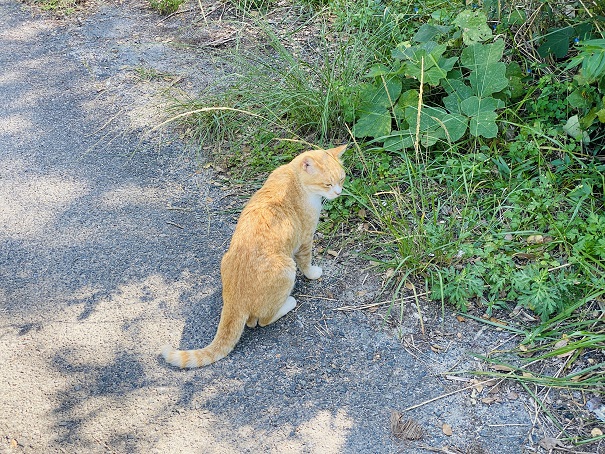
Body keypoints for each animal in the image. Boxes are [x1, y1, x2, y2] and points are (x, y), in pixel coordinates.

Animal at [163, 145, 346, 368]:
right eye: (327, 183)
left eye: (342, 179)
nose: (339, 192)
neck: (293, 176)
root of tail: (234, 300)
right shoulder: (305, 240)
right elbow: (307, 262)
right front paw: (313, 273)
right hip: (287, 268)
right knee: (262, 320)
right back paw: (289, 303)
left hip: (226, 257)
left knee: (251, 321)